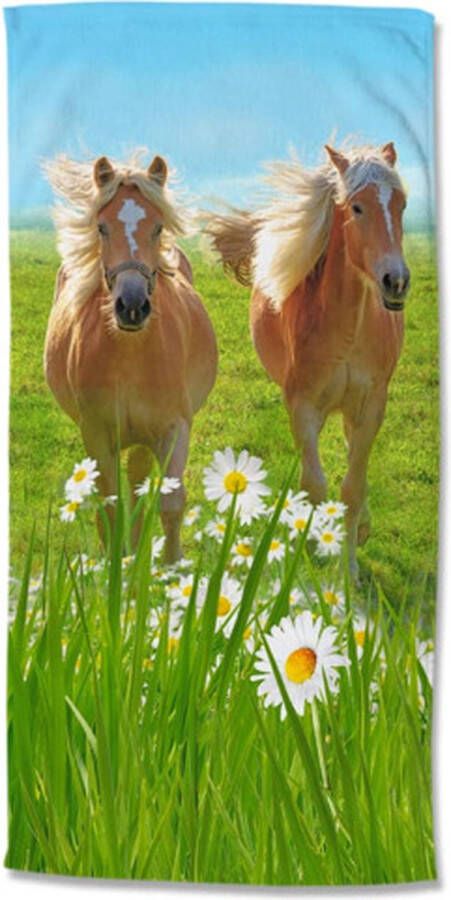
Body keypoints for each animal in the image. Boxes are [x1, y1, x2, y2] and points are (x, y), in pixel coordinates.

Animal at [44, 151, 217, 562]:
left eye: (157, 228)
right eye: (102, 227)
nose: (132, 306)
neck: (130, 356)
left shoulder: (174, 428)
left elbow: (171, 503)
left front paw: (173, 567)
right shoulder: (95, 432)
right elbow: (107, 503)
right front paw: (112, 566)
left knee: (139, 480)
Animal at [204, 142, 410, 577]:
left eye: (401, 204)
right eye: (357, 207)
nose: (396, 281)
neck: (347, 330)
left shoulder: (371, 406)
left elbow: (352, 487)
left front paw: (349, 570)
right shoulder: (302, 407)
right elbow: (314, 487)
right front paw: (310, 563)